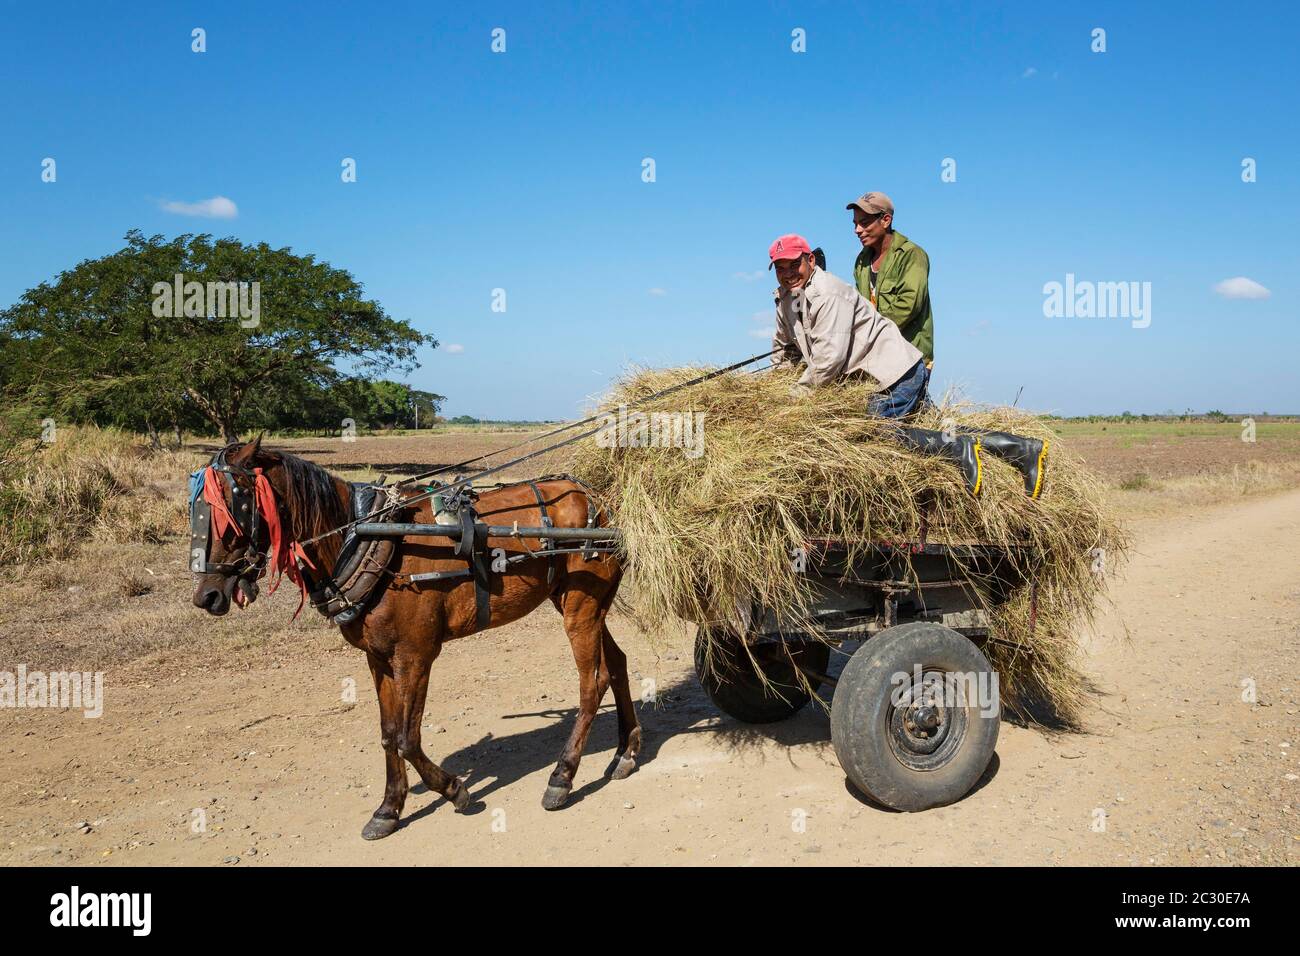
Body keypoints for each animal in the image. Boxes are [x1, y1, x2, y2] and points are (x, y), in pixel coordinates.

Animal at [188, 437, 639, 842]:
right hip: (582, 606)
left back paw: (562, 777)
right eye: (196, 511)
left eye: (231, 507)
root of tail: (597, 498)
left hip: (581, 609)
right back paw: (626, 752)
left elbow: (408, 738)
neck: (368, 537)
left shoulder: (416, 655)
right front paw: (389, 808)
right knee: (617, 665)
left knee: (592, 685)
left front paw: (454, 790)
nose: (206, 596)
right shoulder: (377, 657)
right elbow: (389, 733)